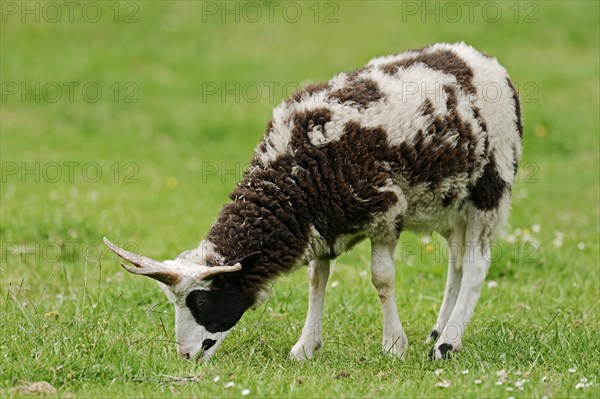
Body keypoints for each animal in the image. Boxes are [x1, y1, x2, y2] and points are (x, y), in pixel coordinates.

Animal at [105, 43, 524, 362]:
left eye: (203, 302)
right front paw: (306, 347)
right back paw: (439, 330)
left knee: (476, 264)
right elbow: (316, 280)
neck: (293, 181)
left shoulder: (386, 211)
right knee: (457, 262)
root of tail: (481, 58)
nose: (186, 357)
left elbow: (381, 279)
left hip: (490, 185)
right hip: (449, 203)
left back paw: (447, 344)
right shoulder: (321, 223)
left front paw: (393, 345)